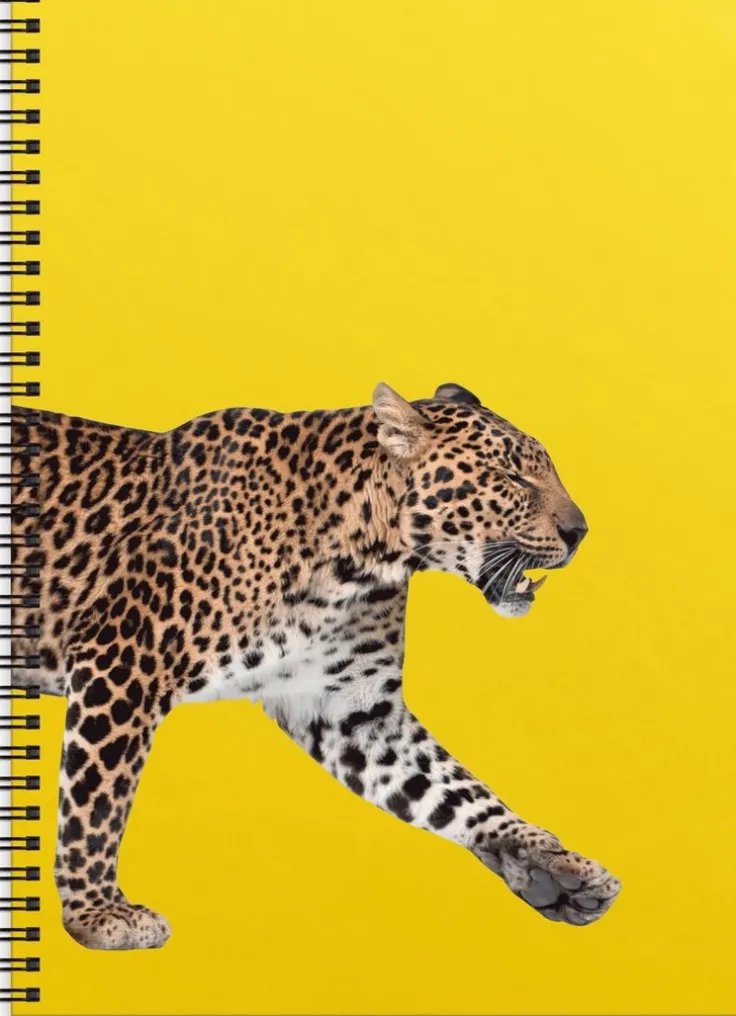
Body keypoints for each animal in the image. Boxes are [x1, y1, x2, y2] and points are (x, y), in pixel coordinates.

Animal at [11, 381, 621, 950]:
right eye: (512, 478)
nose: (580, 532)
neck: (362, 560)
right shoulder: (123, 658)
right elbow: (97, 803)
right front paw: (98, 914)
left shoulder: (354, 711)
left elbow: (456, 790)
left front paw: (553, 865)